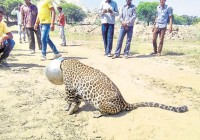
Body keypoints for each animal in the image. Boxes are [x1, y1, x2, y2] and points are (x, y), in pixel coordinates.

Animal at [60, 58, 188, 117]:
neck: (66, 62)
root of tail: (123, 101)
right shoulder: (76, 90)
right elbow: (76, 100)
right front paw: (73, 108)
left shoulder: (69, 88)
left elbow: (70, 99)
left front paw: (68, 109)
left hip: (101, 102)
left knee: (107, 112)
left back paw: (97, 113)